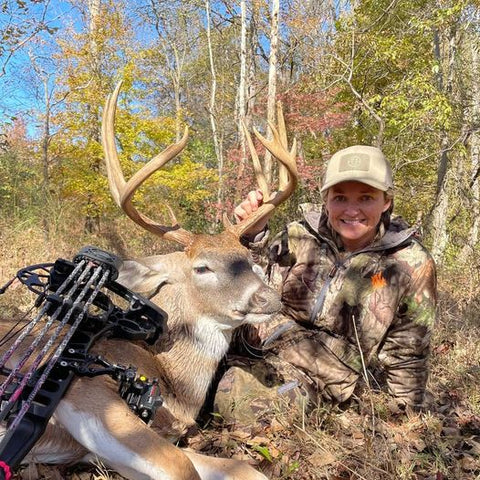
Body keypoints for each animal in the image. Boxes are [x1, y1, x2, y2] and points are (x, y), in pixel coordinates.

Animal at [0, 83, 298, 480]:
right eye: (202, 268)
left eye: (249, 260)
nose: (269, 298)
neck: (171, 381)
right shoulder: (85, 388)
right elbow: (181, 466)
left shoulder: (95, 453)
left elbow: (244, 469)